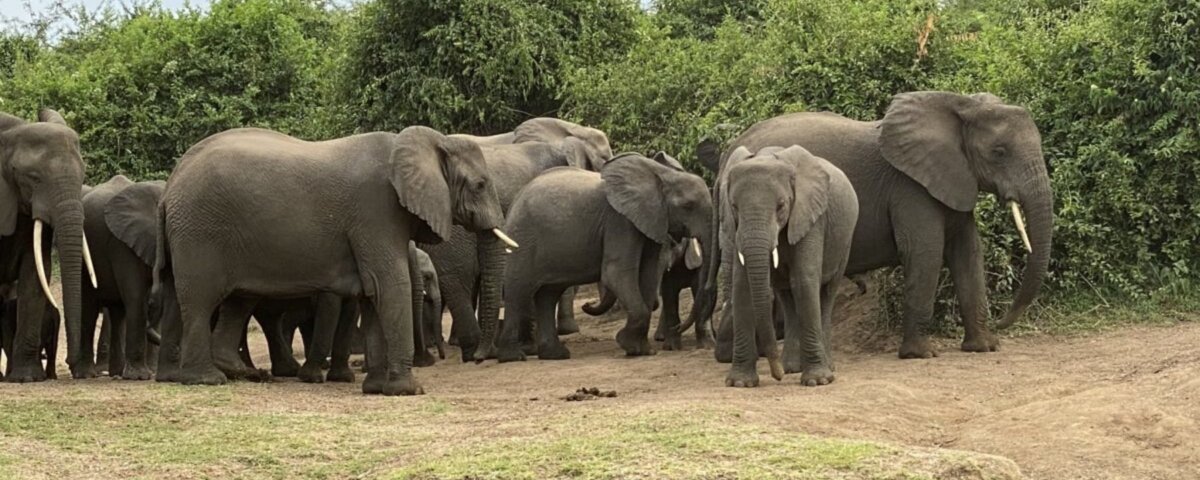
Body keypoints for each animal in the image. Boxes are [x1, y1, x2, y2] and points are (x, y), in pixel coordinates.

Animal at [76, 176, 165, 380]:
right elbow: (135, 296)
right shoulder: (122, 244)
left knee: (118, 313)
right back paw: (87, 374)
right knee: (89, 307)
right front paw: (140, 377)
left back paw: (116, 372)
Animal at [153, 126, 508, 395]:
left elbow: (372, 293)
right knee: (200, 300)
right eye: (479, 185)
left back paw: (234, 373)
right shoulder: (376, 211)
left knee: (214, 300)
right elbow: (389, 285)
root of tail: (169, 186)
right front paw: (408, 390)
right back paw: (207, 379)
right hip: (199, 232)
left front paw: (375, 389)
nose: (480, 358)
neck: (429, 141)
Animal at [495, 152, 713, 361]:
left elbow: (648, 274)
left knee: (548, 295)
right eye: (688, 206)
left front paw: (643, 351)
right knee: (518, 291)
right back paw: (513, 357)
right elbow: (616, 273)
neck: (662, 174)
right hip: (522, 237)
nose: (587, 304)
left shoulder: (651, 221)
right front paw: (630, 346)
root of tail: (516, 199)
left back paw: (556, 355)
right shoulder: (620, 220)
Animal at [694, 145, 858, 388]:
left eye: (781, 205)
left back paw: (824, 368)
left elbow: (804, 281)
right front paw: (740, 383)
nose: (776, 375)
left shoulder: (811, 216)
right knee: (787, 298)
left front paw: (817, 381)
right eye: (734, 206)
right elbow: (742, 287)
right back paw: (791, 367)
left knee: (826, 293)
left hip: (844, 239)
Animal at [695, 92, 1053, 360]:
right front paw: (919, 354)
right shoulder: (910, 188)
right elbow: (925, 254)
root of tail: (730, 151)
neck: (960, 105)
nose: (1005, 321)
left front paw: (984, 347)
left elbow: (968, 254)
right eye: (999, 152)